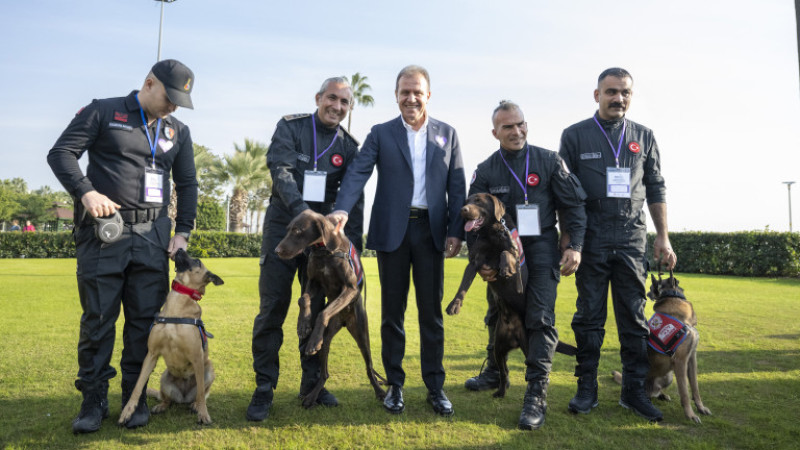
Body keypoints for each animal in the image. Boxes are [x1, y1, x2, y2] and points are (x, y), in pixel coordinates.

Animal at [117, 248, 222, 428]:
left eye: (198, 261)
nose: (179, 249)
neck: (176, 308)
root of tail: (183, 398)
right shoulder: (151, 355)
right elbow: (138, 386)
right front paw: (127, 412)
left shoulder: (197, 357)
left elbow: (202, 393)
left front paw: (203, 414)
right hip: (165, 378)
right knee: (167, 399)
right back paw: (161, 405)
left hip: (208, 369)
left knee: (201, 393)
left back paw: (195, 405)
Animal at [276, 209, 388, 410]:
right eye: (288, 229)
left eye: (297, 230)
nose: (277, 251)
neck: (324, 251)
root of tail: (343, 322)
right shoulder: (313, 281)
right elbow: (303, 299)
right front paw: (303, 324)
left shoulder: (350, 289)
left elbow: (323, 312)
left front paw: (312, 339)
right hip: (327, 339)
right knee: (324, 373)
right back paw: (311, 396)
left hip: (362, 334)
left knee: (369, 368)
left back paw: (379, 391)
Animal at [444, 193, 576, 398]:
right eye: (467, 201)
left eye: (478, 201)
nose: (463, 210)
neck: (491, 232)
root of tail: (513, 336)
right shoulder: (474, 262)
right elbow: (463, 286)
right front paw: (454, 305)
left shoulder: (514, 253)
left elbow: (505, 253)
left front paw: (505, 268)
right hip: (498, 349)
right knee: (504, 371)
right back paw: (500, 391)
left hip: (529, 346)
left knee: (533, 366)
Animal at [612, 272, 712, 424]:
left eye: (651, 287)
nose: (646, 294)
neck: (672, 297)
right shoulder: (680, 361)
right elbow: (684, 392)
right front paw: (690, 415)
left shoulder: (691, 358)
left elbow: (695, 387)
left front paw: (700, 408)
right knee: (642, 393)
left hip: (668, 376)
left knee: (656, 392)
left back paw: (662, 396)